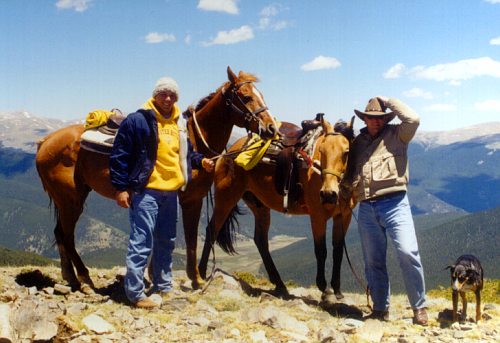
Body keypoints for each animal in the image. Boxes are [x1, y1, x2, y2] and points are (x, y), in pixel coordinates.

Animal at [35, 68, 278, 296]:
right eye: (246, 96)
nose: (272, 128)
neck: (195, 141)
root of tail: (45, 141)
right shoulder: (191, 199)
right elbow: (191, 239)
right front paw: (196, 279)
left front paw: (154, 276)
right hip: (71, 200)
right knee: (66, 236)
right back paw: (85, 279)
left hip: (71, 198)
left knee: (59, 233)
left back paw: (71, 277)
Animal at [199, 117, 356, 302]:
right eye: (322, 152)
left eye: (346, 153)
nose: (328, 194)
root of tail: (228, 152)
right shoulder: (318, 216)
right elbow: (321, 250)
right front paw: (324, 288)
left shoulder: (344, 216)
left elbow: (338, 252)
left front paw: (337, 290)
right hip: (226, 197)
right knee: (211, 230)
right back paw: (201, 273)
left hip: (259, 206)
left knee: (260, 240)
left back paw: (279, 283)